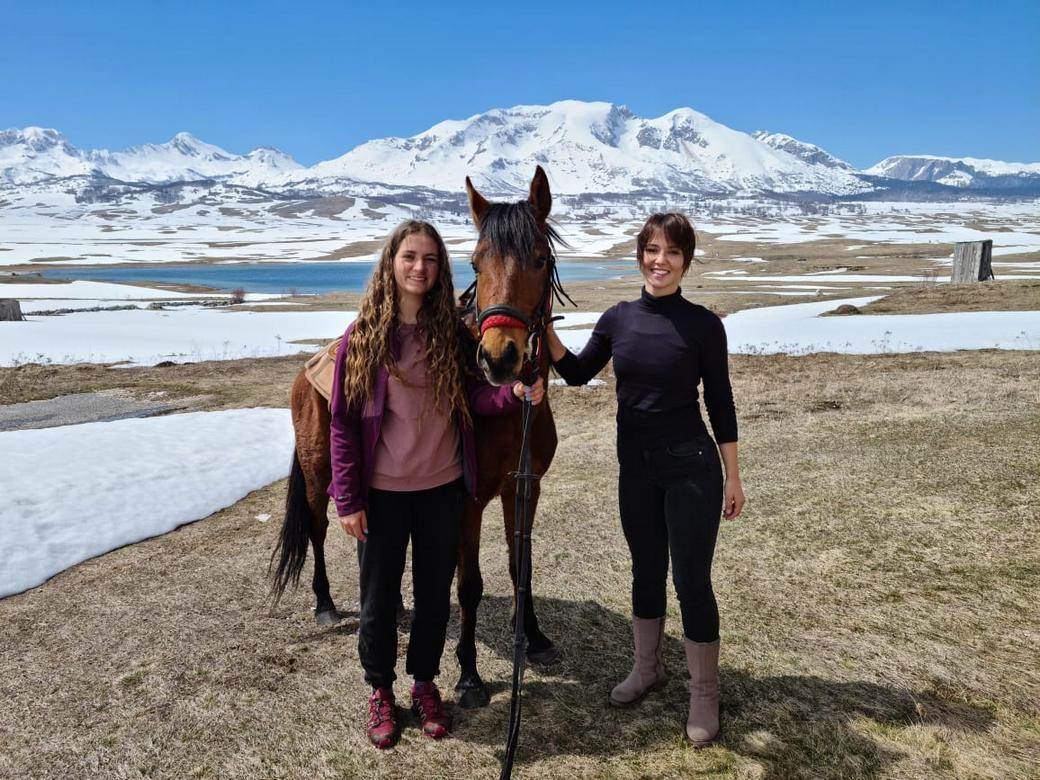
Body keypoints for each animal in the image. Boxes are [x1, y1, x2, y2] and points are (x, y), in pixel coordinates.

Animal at [268, 168, 561, 711]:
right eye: (475, 261)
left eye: (538, 258)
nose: (500, 358)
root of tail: (309, 367)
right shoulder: (468, 498)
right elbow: (469, 584)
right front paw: (469, 675)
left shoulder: (525, 487)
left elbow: (521, 566)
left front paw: (532, 636)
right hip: (319, 470)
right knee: (320, 528)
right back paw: (325, 604)